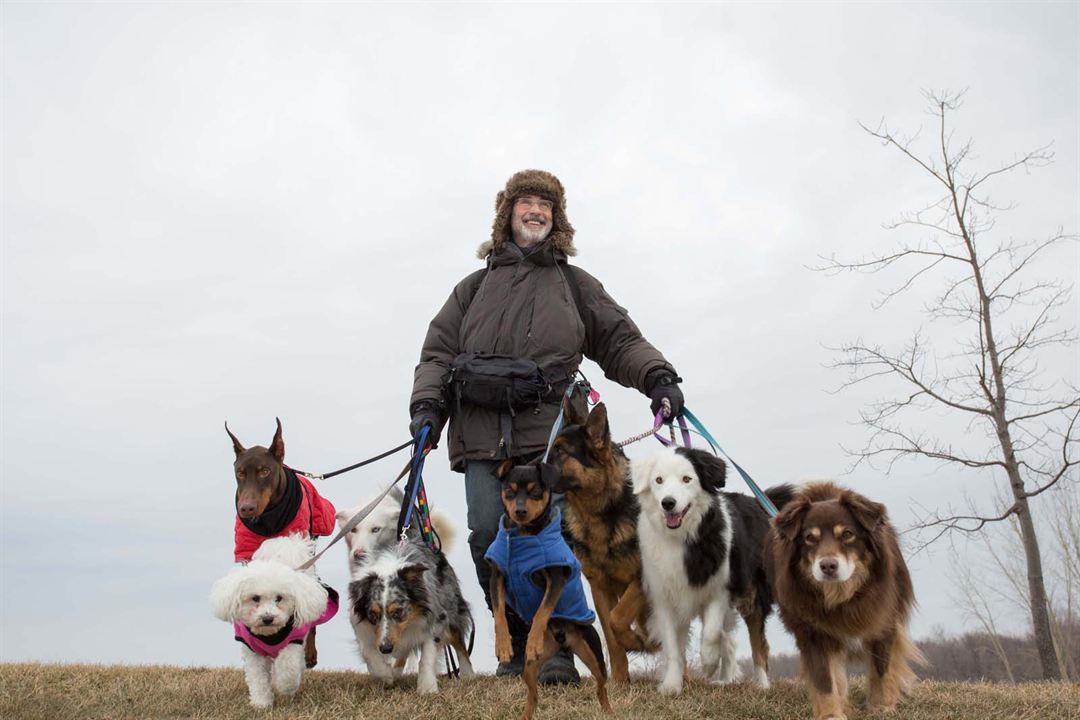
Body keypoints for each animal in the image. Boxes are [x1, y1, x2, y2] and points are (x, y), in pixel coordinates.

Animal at [488, 462, 613, 720]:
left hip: (593, 653)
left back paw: (608, 711)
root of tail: (563, 643)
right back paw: (525, 715)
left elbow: (542, 612)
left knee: (601, 687)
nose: (520, 511)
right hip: (530, 667)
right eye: (509, 491)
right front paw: (503, 645)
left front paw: (533, 640)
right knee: (533, 694)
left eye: (535, 491)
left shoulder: (556, 578)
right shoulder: (497, 576)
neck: (523, 535)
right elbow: (500, 613)